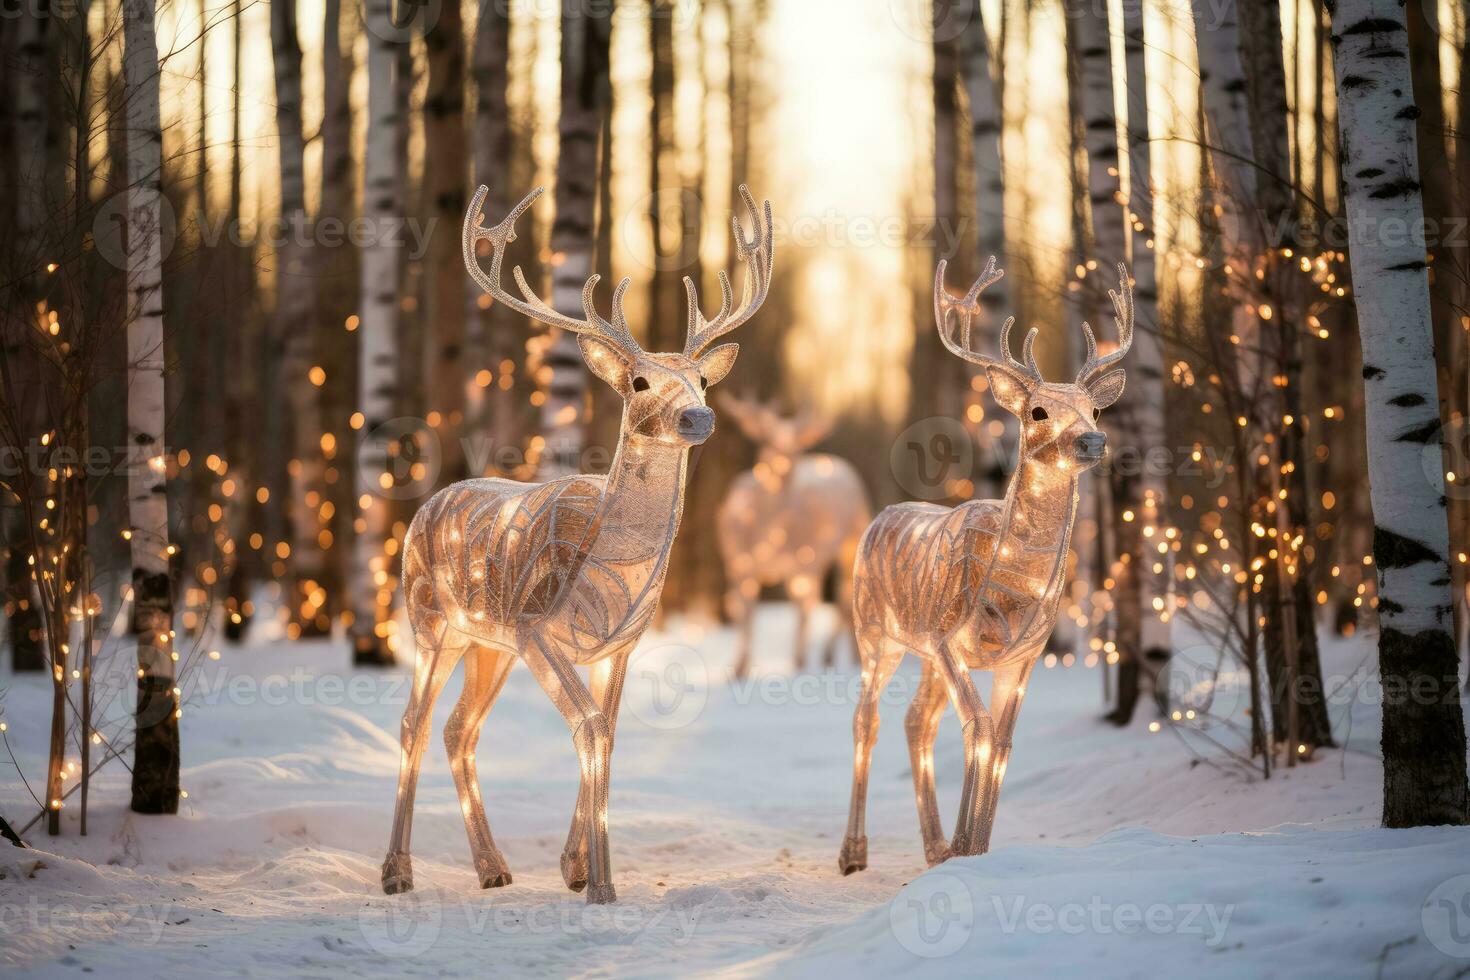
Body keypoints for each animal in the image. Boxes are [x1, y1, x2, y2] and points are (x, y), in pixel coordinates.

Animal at [385, 182, 776, 905]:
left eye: (704, 381)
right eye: (640, 382)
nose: (697, 415)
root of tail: (426, 506)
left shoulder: (618, 645)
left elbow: (609, 732)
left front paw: (576, 868)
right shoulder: (540, 628)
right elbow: (588, 726)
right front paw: (600, 884)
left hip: (489, 641)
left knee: (459, 728)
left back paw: (493, 868)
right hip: (431, 620)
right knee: (414, 724)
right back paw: (397, 873)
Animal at [714, 393, 864, 678]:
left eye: (798, 441)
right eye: (765, 438)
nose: (785, 462)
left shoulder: (805, 561)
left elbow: (803, 610)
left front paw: (799, 662)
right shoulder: (737, 562)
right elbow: (743, 611)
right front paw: (739, 668)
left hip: (853, 534)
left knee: (842, 596)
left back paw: (845, 657)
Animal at [840, 260, 1134, 875]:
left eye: (1095, 409)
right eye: (1037, 410)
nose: (1093, 440)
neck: (1014, 590)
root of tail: (881, 516)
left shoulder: (1023, 655)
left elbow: (1001, 739)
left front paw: (972, 850)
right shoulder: (948, 638)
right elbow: (976, 725)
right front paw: (964, 848)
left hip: (922, 651)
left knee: (916, 721)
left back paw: (932, 847)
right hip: (876, 628)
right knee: (866, 717)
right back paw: (854, 854)